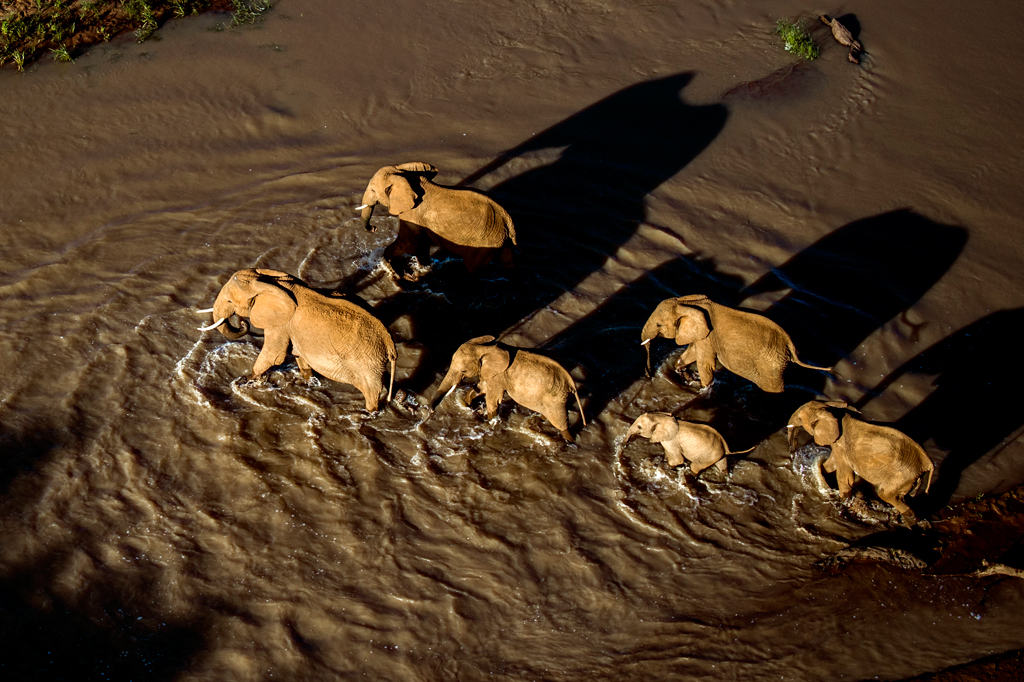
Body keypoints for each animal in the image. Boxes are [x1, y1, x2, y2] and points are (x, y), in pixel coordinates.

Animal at [197, 268, 397, 411]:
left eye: (230, 301)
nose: (242, 323)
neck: (271, 282)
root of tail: (390, 345)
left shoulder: (281, 323)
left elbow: (274, 355)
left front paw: (246, 381)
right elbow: (298, 353)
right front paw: (310, 383)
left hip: (367, 362)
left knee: (371, 391)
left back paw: (369, 412)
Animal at [432, 333, 589, 440]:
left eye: (463, 371)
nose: (432, 411)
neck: (485, 348)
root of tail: (571, 382)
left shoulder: (499, 376)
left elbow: (492, 399)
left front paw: (490, 421)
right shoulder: (492, 374)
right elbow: (481, 388)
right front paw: (468, 405)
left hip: (555, 398)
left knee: (560, 421)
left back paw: (569, 441)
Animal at [622, 409, 753, 473]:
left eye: (639, 427)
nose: (624, 444)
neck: (663, 417)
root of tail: (726, 446)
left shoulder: (671, 440)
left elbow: (677, 460)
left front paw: (668, 466)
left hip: (708, 456)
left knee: (695, 467)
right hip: (719, 455)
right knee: (723, 467)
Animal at [790, 399, 937, 516]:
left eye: (799, 418)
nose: (792, 453)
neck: (832, 411)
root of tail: (928, 463)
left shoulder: (842, 446)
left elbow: (845, 477)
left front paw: (842, 500)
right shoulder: (839, 447)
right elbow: (831, 465)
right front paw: (820, 473)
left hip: (902, 476)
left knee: (886, 495)